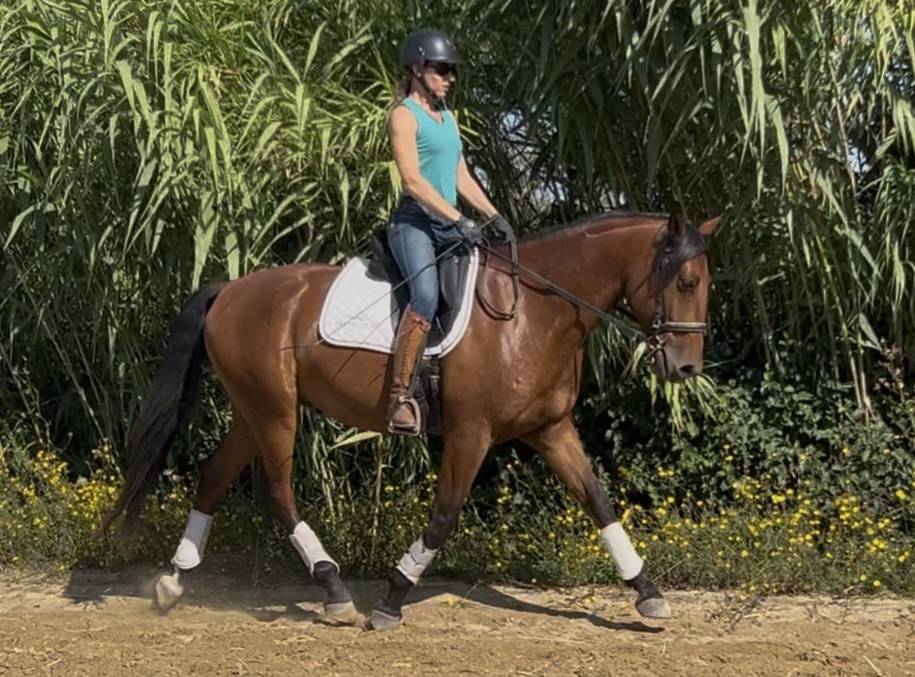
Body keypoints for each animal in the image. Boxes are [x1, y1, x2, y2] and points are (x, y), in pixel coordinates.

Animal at [101, 211, 720, 629]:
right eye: (686, 283)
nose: (686, 367)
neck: (533, 310)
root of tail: (229, 289)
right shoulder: (471, 432)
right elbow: (444, 516)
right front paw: (394, 596)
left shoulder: (550, 429)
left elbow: (598, 501)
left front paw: (647, 593)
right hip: (275, 410)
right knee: (276, 492)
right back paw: (334, 590)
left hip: (254, 410)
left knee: (214, 474)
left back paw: (173, 581)